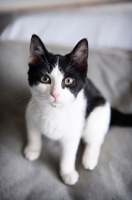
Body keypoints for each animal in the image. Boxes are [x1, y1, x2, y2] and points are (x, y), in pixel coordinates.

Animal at [24, 34, 132, 186]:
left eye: (68, 81)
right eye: (44, 78)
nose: (55, 94)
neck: (55, 112)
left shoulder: (74, 132)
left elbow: (68, 154)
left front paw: (67, 173)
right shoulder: (30, 113)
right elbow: (33, 133)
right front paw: (33, 149)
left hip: (99, 110)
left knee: (95, 138)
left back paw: (89, 159)